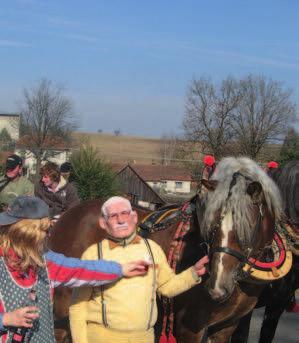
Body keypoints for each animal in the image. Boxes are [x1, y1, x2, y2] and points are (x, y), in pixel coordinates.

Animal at [49, 157, 284, 342]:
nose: (217, 287)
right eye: (212, 224)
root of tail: (65, 217)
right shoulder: (189, 327)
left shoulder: (225, 328)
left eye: (247, 225)